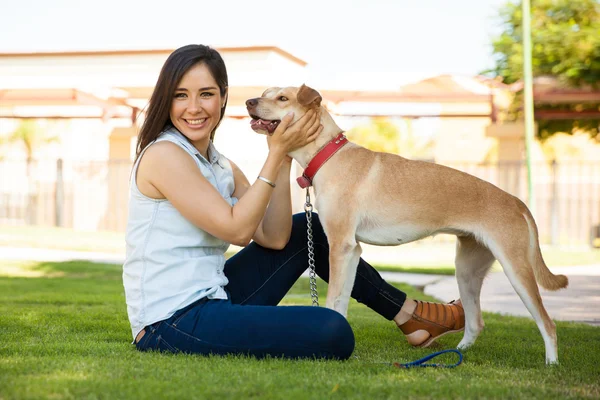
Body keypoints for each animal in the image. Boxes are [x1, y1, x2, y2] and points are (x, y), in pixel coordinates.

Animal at [245, 84, 568, 366]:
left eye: (283, 98)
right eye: (264, 93)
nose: (249, 101)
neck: (329, 156)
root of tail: (516, 201)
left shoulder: (339, 246)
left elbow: (333, 298)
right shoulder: (351, 252)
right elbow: (341, 302)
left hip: (515, 269)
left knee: (547, 323)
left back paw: (551, 363)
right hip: (467, 270)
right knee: (476, 322)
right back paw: (458, 353)